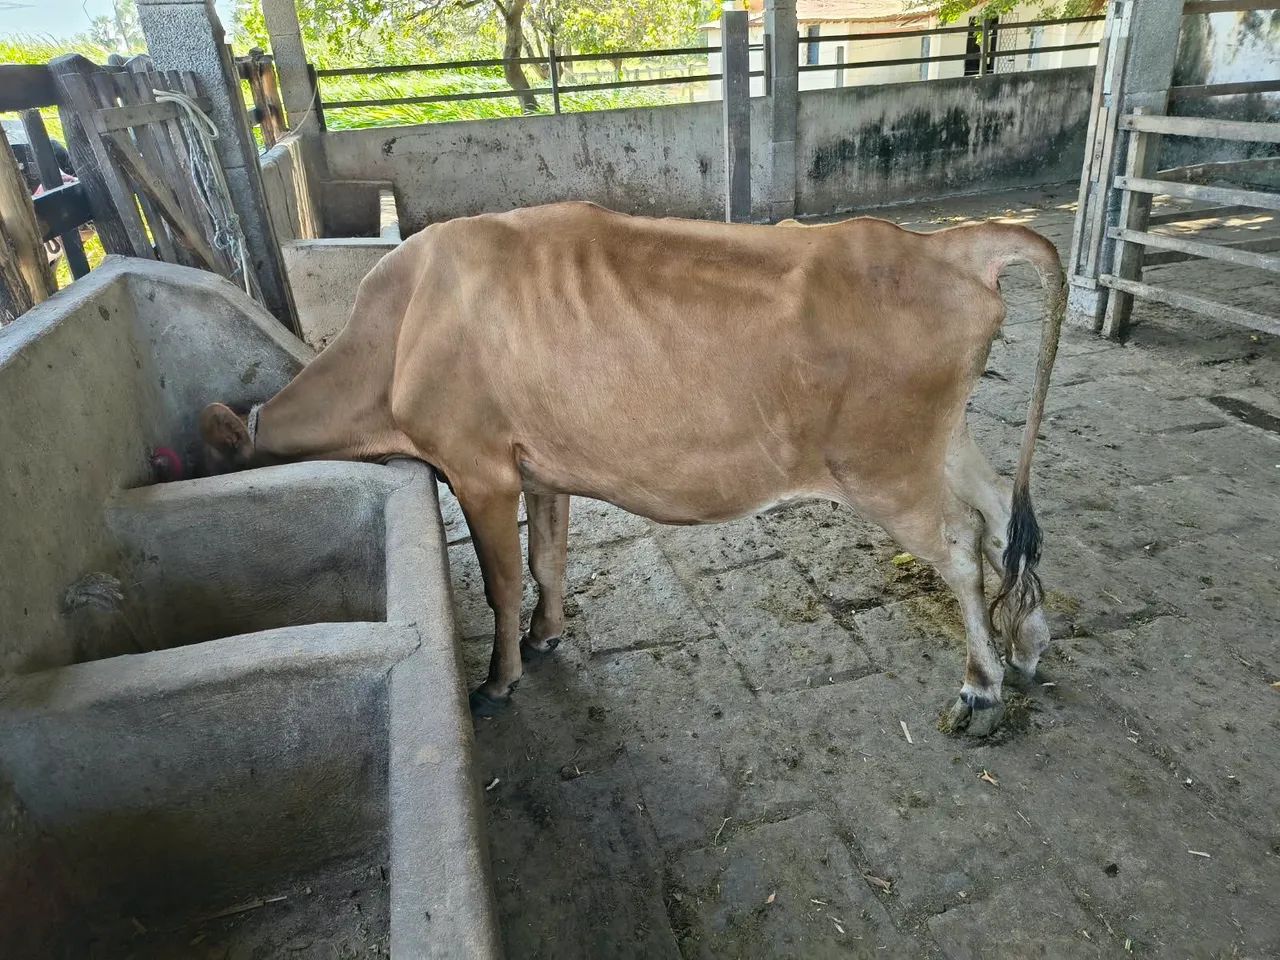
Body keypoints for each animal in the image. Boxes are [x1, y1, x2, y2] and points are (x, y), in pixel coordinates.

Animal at [199, 201, 1064, 736]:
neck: (398, 332)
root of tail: (946, 244)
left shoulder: (480, 469)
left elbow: (502, 581)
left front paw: (499, 679)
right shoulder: (541, 468)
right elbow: (546, 560)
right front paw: (548, 635)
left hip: (885, 465)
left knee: (960, 545)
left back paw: (980, 683)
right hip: (938, 440)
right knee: (1000, 512)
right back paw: (1027, 646)